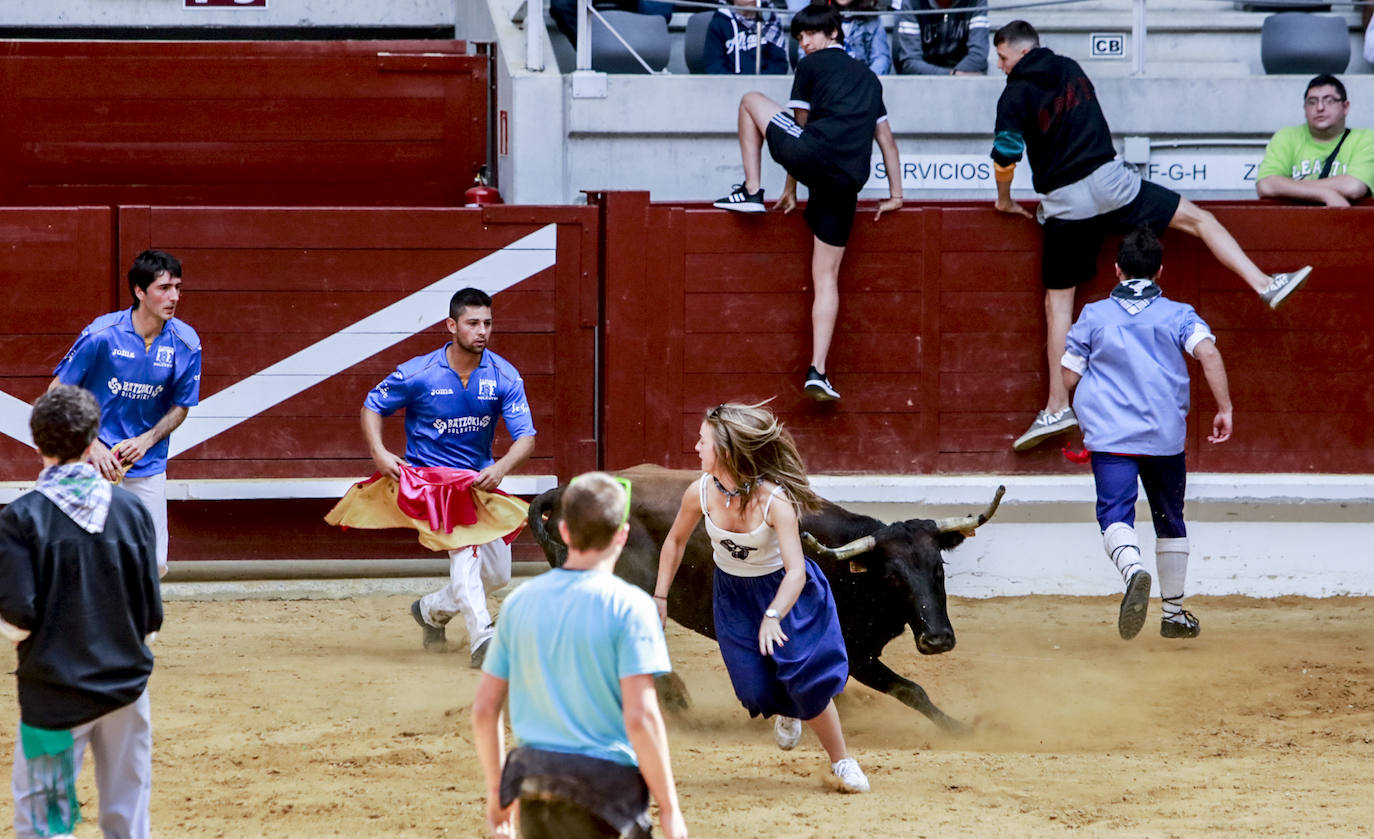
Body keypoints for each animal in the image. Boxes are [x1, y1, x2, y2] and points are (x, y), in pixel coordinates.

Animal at [524, 466, 1000, 736]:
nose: (937, 639)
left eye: (938, 569)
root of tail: (562, 492)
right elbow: (910, 689)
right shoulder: (857, 654)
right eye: (893, 577)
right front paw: (960, 728)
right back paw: (677, 704)